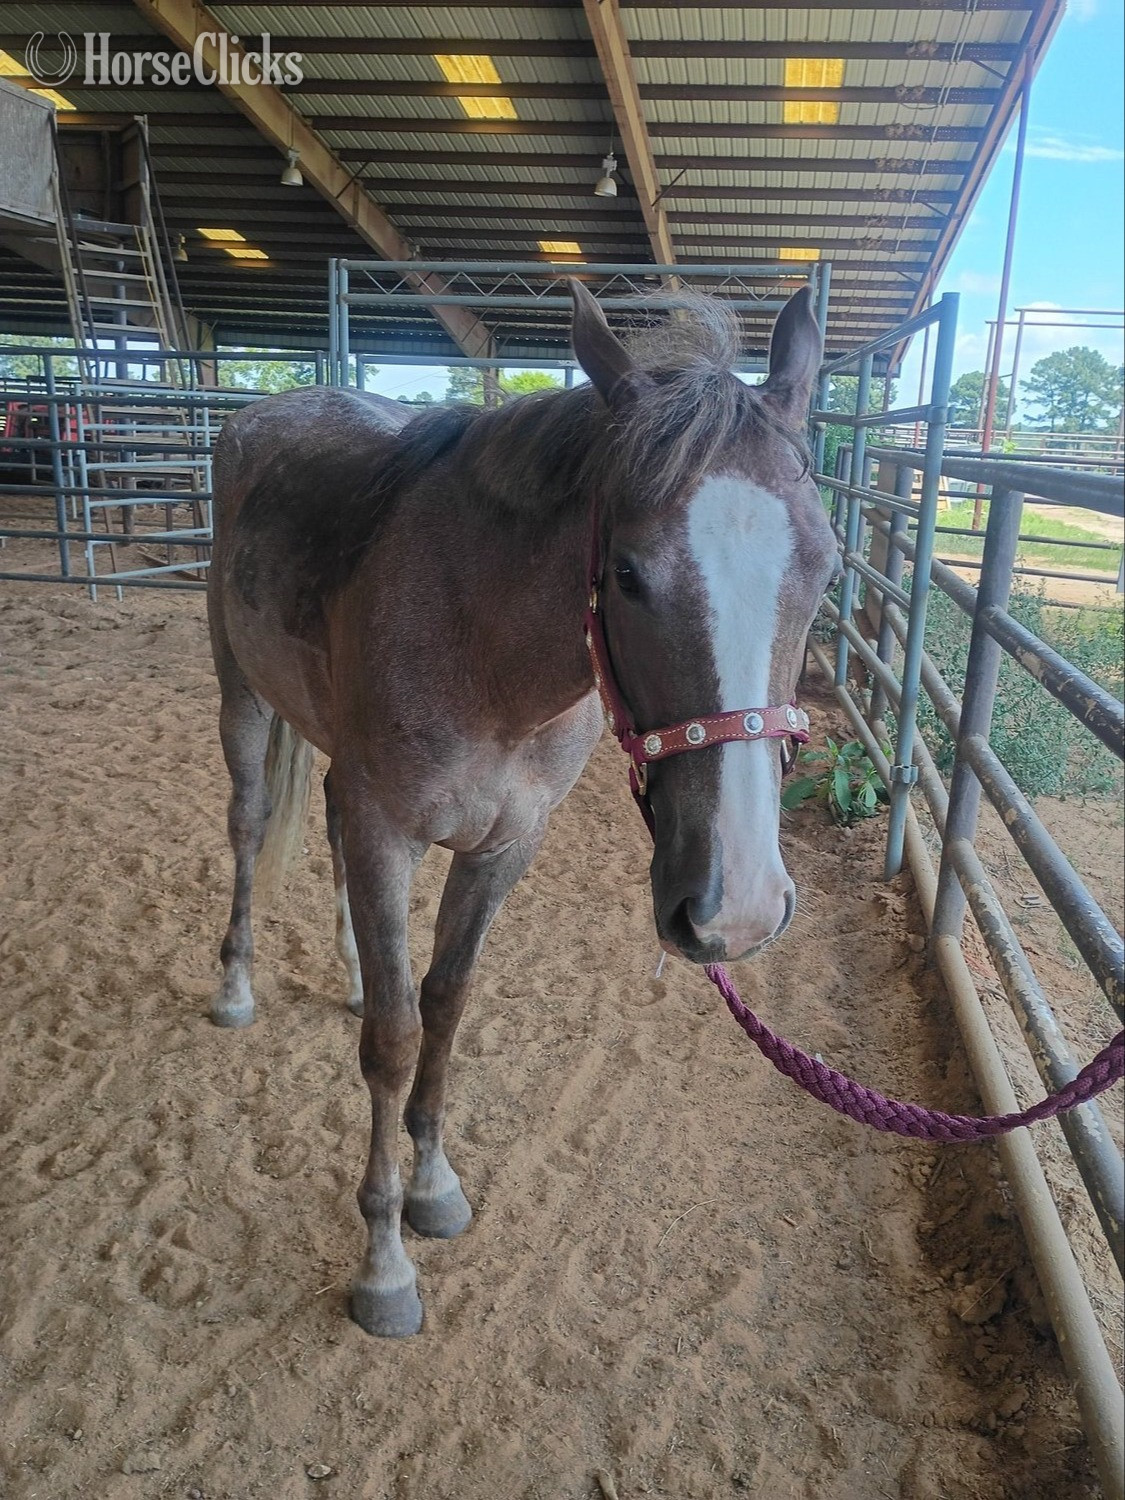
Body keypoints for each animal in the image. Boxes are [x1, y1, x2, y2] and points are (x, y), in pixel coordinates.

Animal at [205, 281, 838, 1337]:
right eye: (626, 573)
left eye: (826, 569)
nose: (739, 905)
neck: (479, 638)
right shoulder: (389, 832)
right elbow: (393, 1041)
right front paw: (383, 1263)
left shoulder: (503, 846)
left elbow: (444, 1003)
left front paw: (432, 1188)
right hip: (243, 700)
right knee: (251, 829)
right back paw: (236, 986)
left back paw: (348, 970)